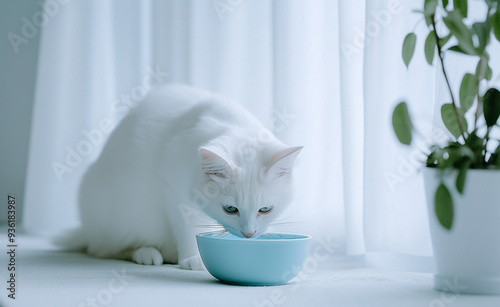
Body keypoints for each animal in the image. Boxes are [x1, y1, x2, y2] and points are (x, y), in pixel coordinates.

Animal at [56, 84, 302, 270]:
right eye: (230, 209)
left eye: (265, 209)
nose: (248, 234)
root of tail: (87, 229)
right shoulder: (175, 192)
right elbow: (189, 229)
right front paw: (193, 259)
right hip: (126, 216)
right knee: (106, 249)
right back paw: (147, 254)